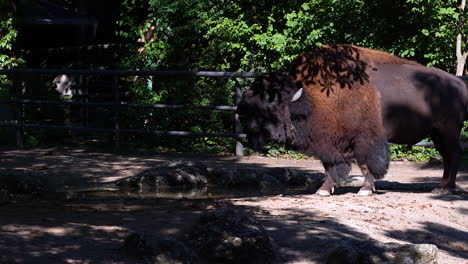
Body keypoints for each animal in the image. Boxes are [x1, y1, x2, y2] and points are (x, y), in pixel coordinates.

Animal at [238, 44, 468, 195]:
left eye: (270, 106)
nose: (240, 112)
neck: (310, 98)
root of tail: (459, 83)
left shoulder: (365, 140)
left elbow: (367, 165)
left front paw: (365, 190)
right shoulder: (330, 143)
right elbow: (331, 167)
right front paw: (324, 190)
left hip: (447, 131)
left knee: (454, 155)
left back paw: (446, 189)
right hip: (437, 134)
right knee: (448, 157)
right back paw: (440, 187)